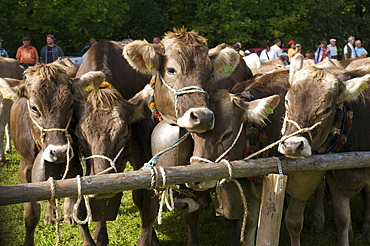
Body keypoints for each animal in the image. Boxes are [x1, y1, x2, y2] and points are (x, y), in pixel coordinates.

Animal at [0, 64, 104, 246]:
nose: (59, 152)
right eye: (34, 108)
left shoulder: (74, 164)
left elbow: (79, 210)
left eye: (70, 105)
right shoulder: (25, 167)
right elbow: (31, 214)